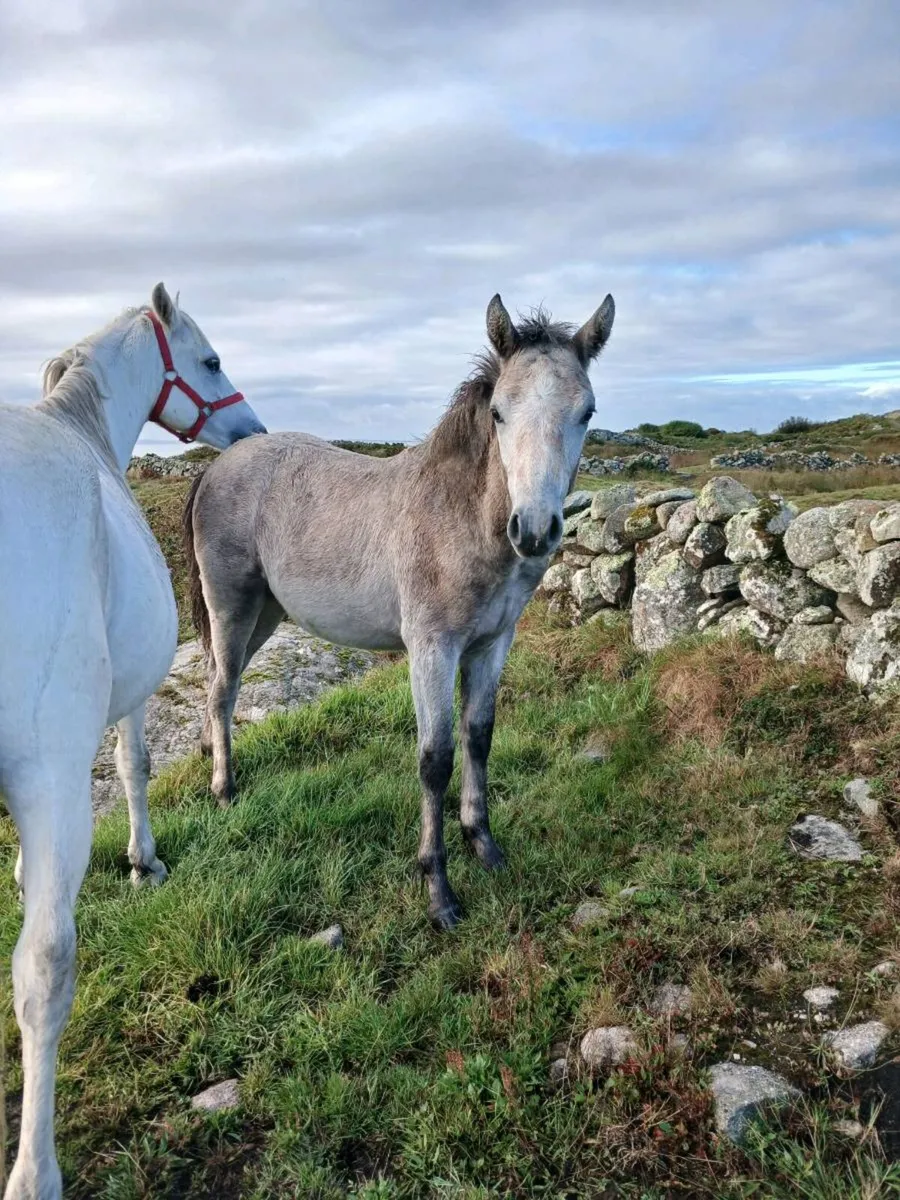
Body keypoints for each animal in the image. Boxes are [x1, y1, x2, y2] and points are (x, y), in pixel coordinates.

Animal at [0, 284, 265, 1200]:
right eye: (211, 359)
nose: (251, 429)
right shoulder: (124, 707)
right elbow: (136, 766)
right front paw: (143, 859)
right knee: (45, 972)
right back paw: (35, 1171)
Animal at [183, 292, 615, 931]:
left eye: (586, 412)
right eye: (499, 413)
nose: (535, 531)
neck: (459, 518)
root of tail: (219, 463)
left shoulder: (492, 645)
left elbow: (479, 737)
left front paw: (485, 846)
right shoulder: (431, 650)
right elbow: (435, 759)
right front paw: (439, 891)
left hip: (264, 613)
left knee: (219, 681)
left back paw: (212, 759)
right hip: (232, 605)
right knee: (220, 690)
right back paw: (224, 789)